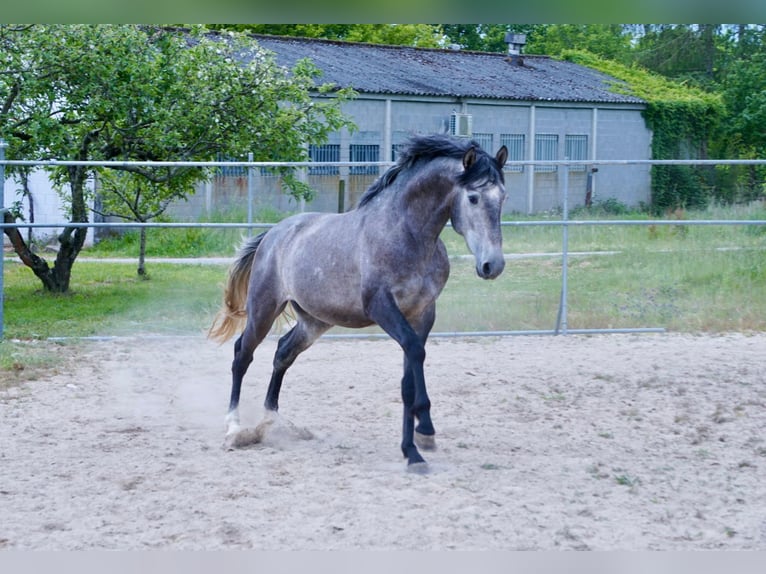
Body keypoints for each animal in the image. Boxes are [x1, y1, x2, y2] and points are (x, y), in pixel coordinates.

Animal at [210, 135, 510, 472]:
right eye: (473, 197)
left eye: (503, 197)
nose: (492, 265)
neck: (405, 235)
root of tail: (272, 235)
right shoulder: (382, 308)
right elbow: (413, 361)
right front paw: (416, 446)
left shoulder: (422, 313)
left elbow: (410, 372)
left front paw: (420, 439)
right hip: (264, 309)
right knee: (242, 354)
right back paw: (234, 427)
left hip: (314, 322)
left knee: (283, 353)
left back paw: (274, 422)